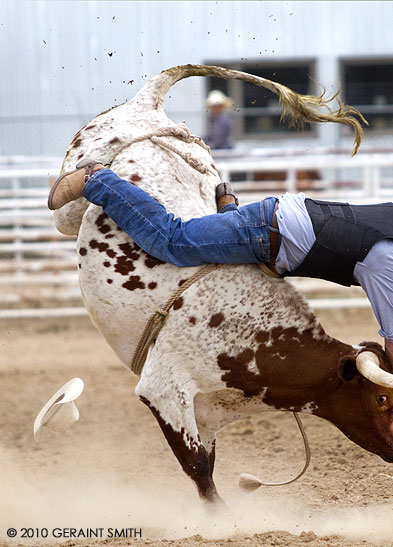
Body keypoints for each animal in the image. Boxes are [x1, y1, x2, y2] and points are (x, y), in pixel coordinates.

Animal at [52, 65, 393, 506]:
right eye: (382, 399)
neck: (258, 339)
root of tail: (148, 103)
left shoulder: (210, 411)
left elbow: (208, 465)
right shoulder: (164, 390)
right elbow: (200, 472)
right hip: (72, 200)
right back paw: (79, 180)